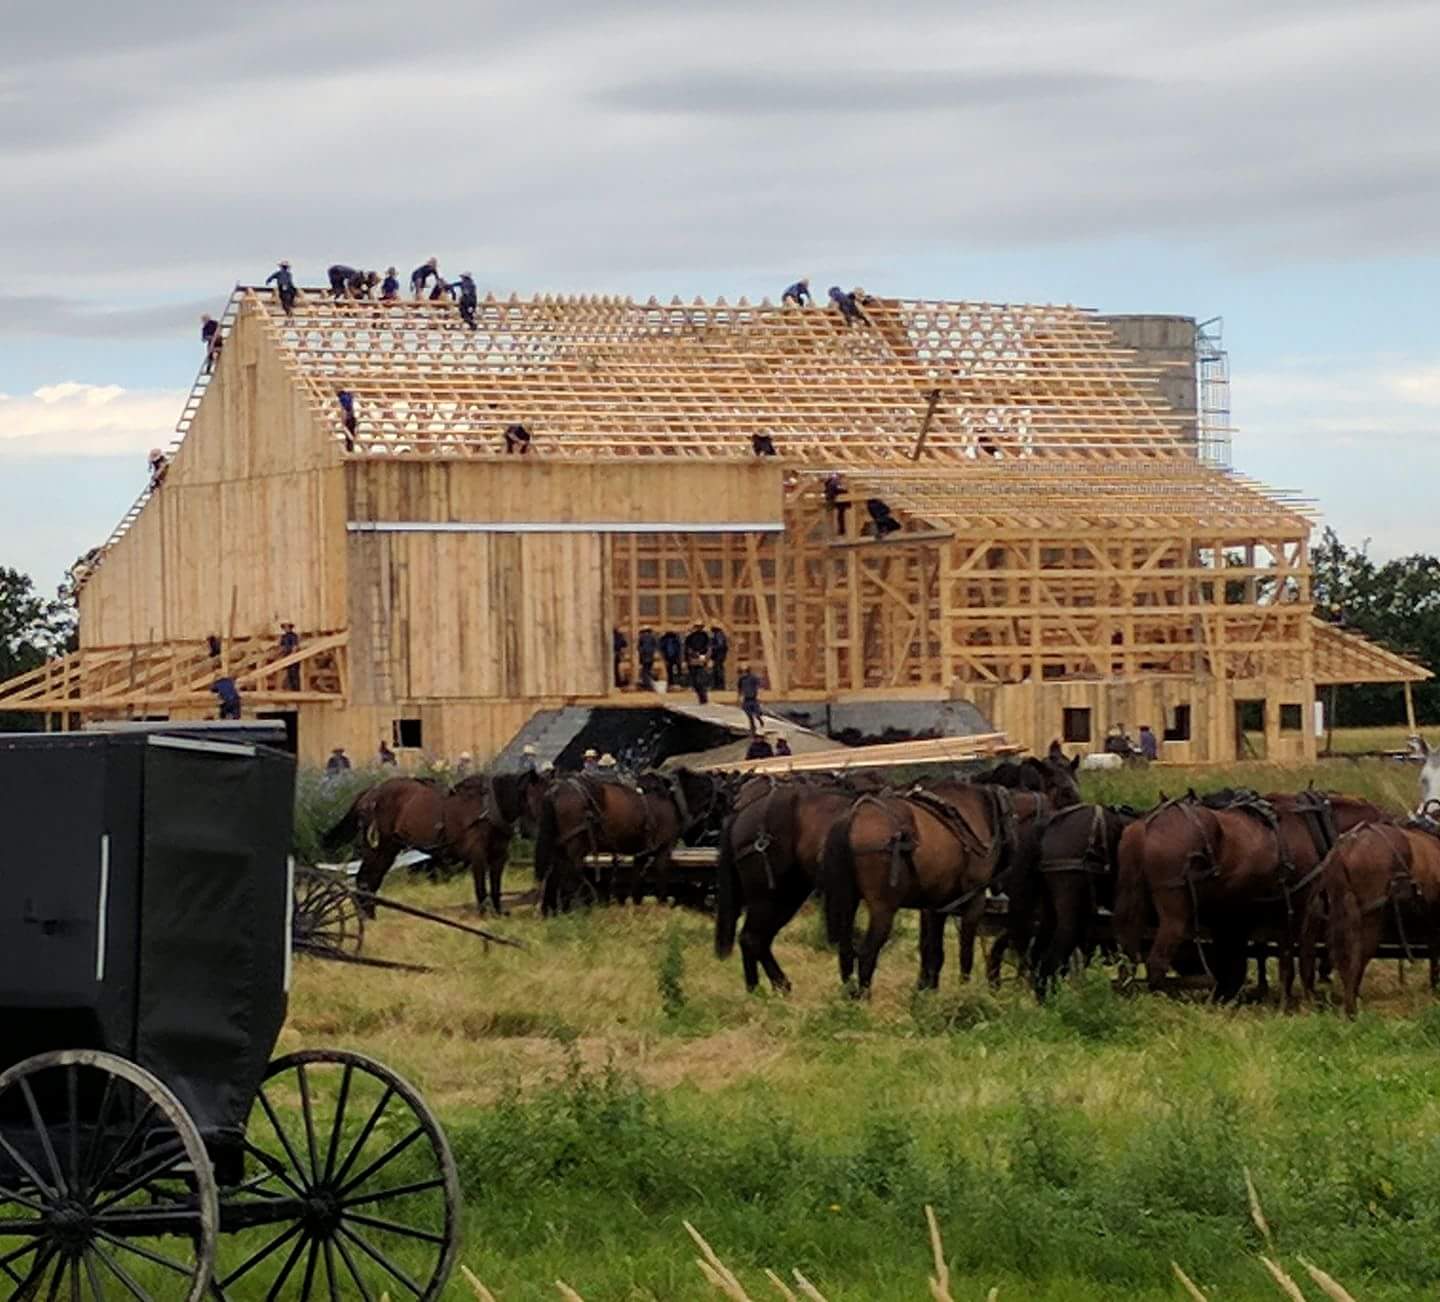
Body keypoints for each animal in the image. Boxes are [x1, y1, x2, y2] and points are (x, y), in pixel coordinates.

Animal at [535, 766, 725, 910]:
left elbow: (636, 882)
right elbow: (661, 879)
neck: (673, 798)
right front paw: (662, 905)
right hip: (575, 844)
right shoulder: (663, 849)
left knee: (554, 876)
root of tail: (555, 790)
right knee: (572, 876)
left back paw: (552, 911)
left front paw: (636, 907)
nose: (715, 841)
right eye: (722, 807)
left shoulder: (641, 852)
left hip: (559, 846)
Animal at [717, 771, 864, 996]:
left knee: (757, 939)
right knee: (752, 938)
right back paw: (770, 988)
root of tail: (741, 813)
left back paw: (761, 988)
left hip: (788, 895)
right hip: (768, 897)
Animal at [823, 777, 1048, 990]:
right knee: (867, 954)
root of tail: (852, 818)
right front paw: (963, 991)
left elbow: (934, 953)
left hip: (848, 902)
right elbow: (965, 954)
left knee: (846, 952)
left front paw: (927, 991)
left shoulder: (937, 907)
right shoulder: (973, 901)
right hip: (883, 909)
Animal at [1111, 789, 1382, 1002]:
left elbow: (1270, 961)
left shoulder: (1265, 914)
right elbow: (1301, 958)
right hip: (1175, 912)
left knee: (1128, 956)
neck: (1310, 826)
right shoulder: (1302, 907)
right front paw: (1307, 1000)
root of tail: (1147, 826)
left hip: (1133, 902)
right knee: (1156, 963)